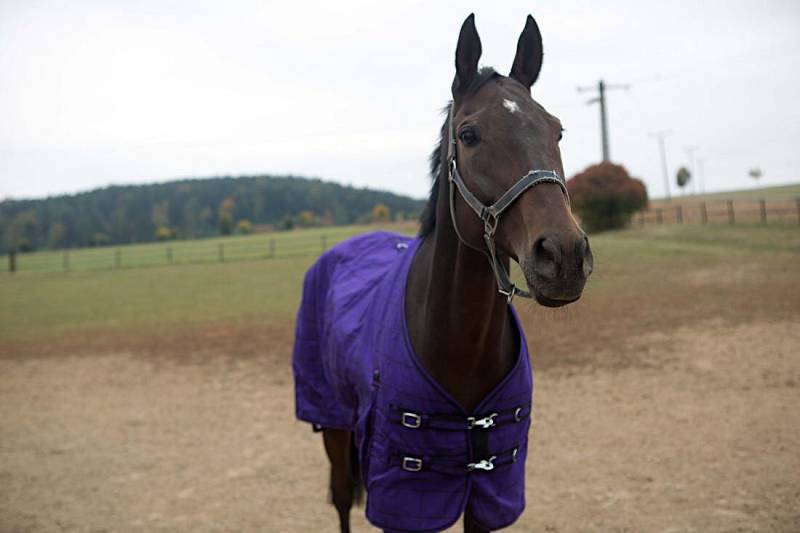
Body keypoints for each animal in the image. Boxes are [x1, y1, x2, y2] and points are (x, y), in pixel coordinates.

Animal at [290, 13, 592, 532]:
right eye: (468, 135)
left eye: (557, 131)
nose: (565, 255)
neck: (459, 349)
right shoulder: (404, 499)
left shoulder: (490, 491)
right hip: (333, 424)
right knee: (343, 498)